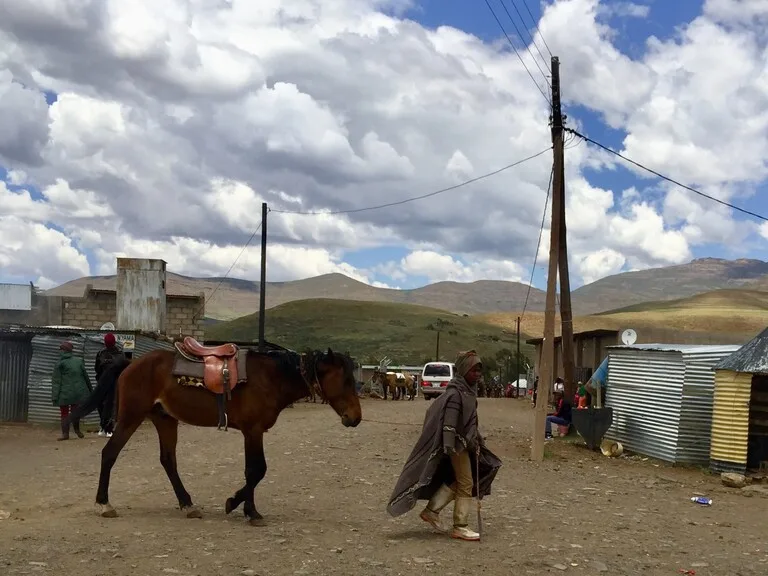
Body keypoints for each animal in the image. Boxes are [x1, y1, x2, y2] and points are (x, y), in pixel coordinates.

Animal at [70, 342, 362, 528]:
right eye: (346, 380)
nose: (355, 418)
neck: (271, 377)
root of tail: (132, 362)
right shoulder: (253, 430)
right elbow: (257, 470)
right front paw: (240, 506)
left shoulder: (252, 432)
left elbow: (252, 470)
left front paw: (246, 509)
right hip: (131, 417)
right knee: (110, 453)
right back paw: (104, 504)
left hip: (165, 420)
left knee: (168, 461)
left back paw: (188, 504)